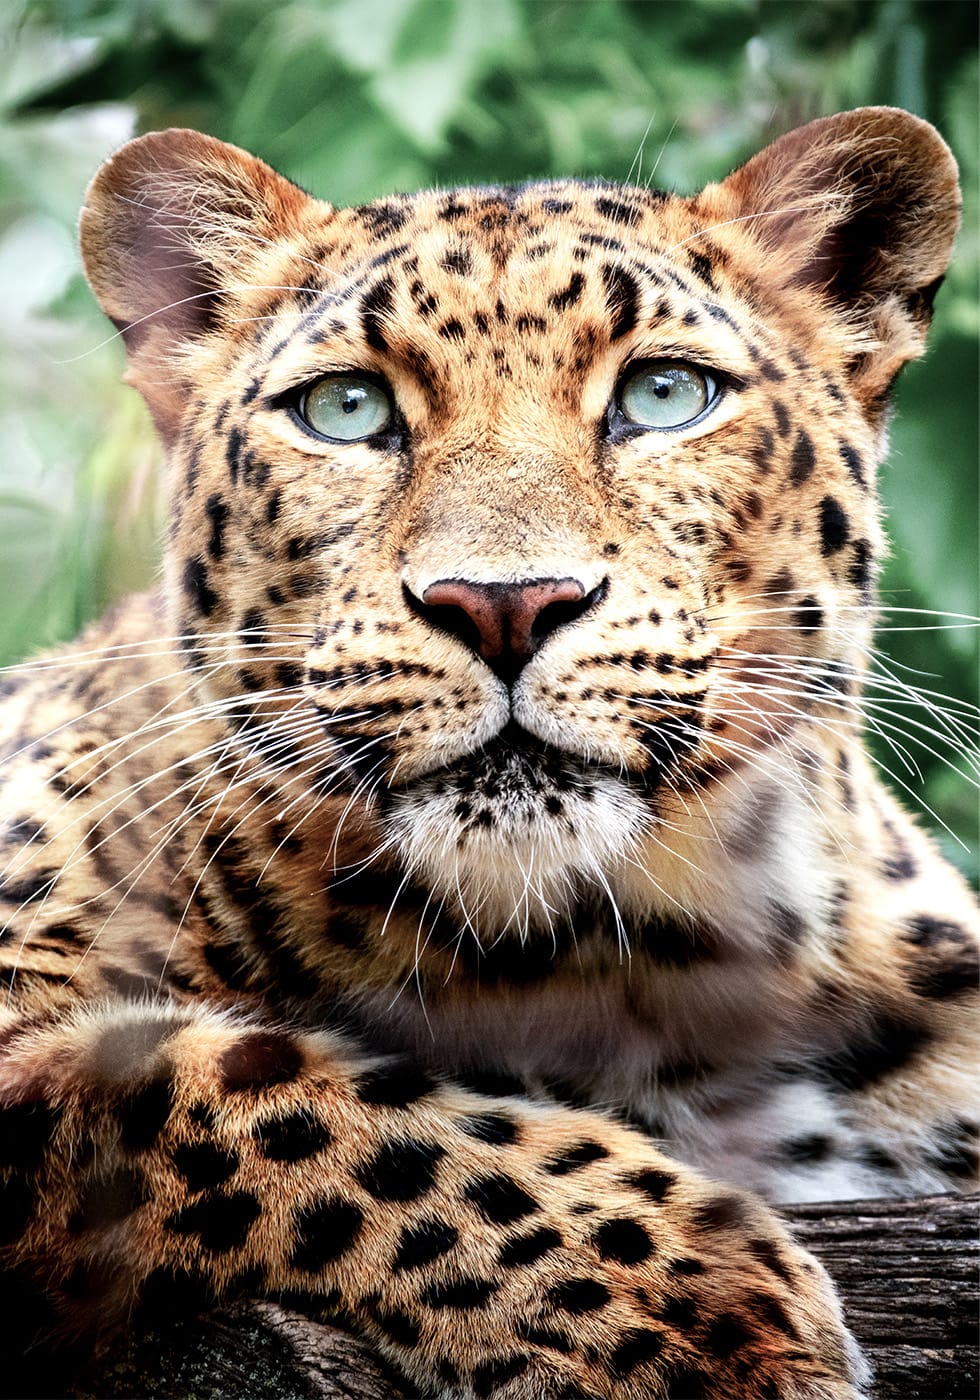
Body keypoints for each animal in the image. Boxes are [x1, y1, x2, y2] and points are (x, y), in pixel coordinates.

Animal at [0, 105, 977, 1400]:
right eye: (345, 409)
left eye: (664, 393)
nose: (505, 604)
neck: (626, 961)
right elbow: (265, 1091)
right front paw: (688, 1307)